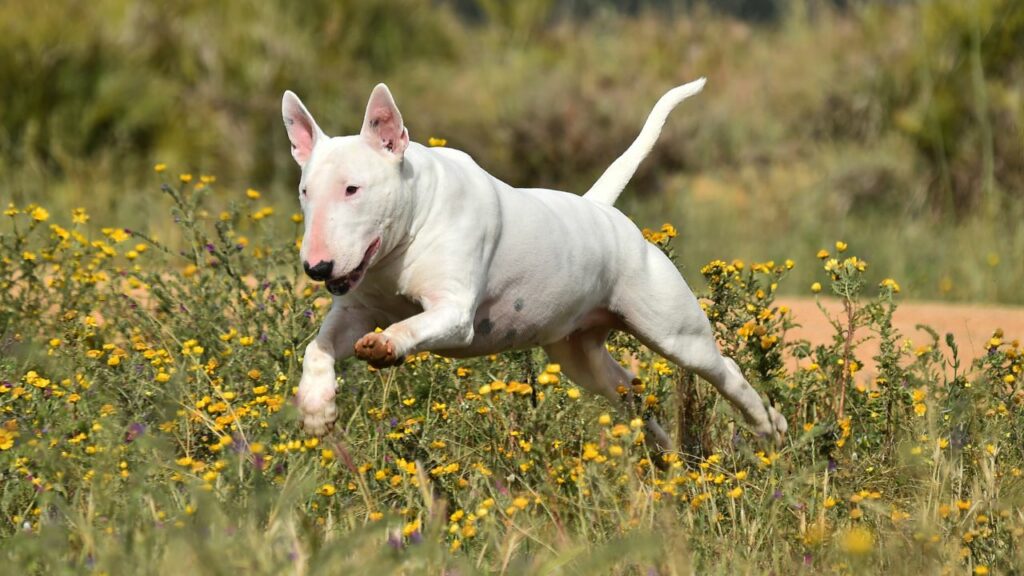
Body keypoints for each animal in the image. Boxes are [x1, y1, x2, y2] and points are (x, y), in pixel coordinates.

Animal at [284, 79, 786, 448]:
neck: (403, 236)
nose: (317, 268)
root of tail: (601, 208)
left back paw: (768, 425)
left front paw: (384, 344)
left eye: (353, 189)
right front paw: (316, 408)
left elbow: (410, 325)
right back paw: (664, 453)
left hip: (674, 332)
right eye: (305, 191)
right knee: (628, 390)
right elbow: (318, 347)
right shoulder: (355, 309)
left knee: (723, 369)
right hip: (579, 354)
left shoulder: (455, 313)